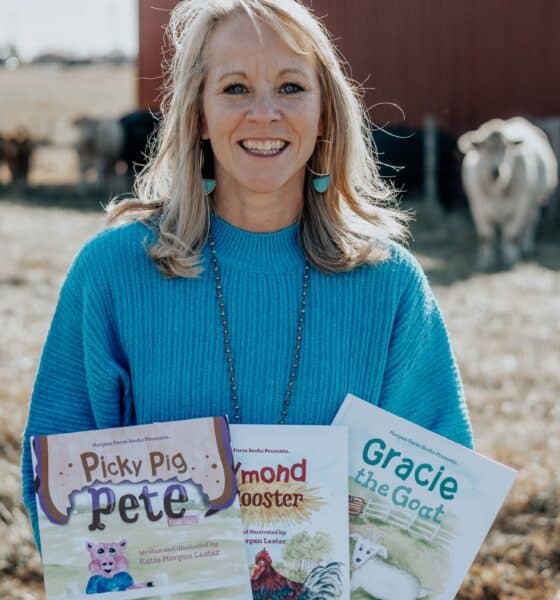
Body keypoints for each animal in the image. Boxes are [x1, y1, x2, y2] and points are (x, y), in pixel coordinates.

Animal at [458, 116, 556, 270]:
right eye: (484, 150)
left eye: (506, 148)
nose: (496, 171)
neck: (497, 187)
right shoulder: (477, 207)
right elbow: (485, 237)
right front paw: (485, 262)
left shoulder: (520, 204)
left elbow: (512, 236)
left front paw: (511, 259)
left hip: (534, 201)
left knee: (531, 221)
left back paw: (526, 247)